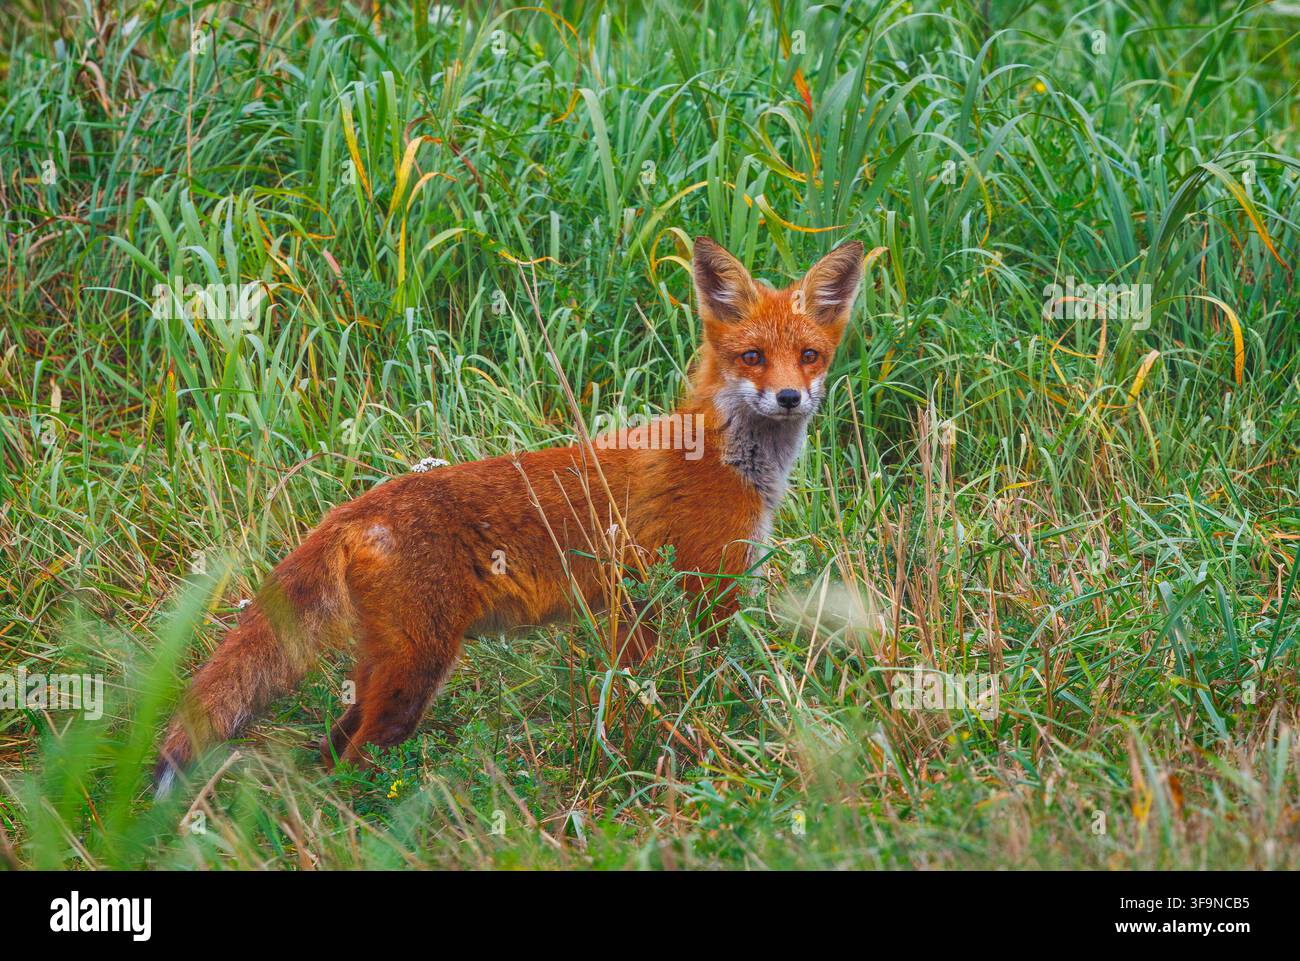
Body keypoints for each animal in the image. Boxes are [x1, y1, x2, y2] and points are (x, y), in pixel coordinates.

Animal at [155, 236, 865, 790]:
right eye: (752, 357)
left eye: (809, 355)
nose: (789, 396)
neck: (728, 459)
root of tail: (357, 506)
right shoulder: (704, 593)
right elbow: (707, 691)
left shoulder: (644, 607)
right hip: (417, 674)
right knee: (354, 762)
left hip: (385, 668)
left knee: (331, 749)